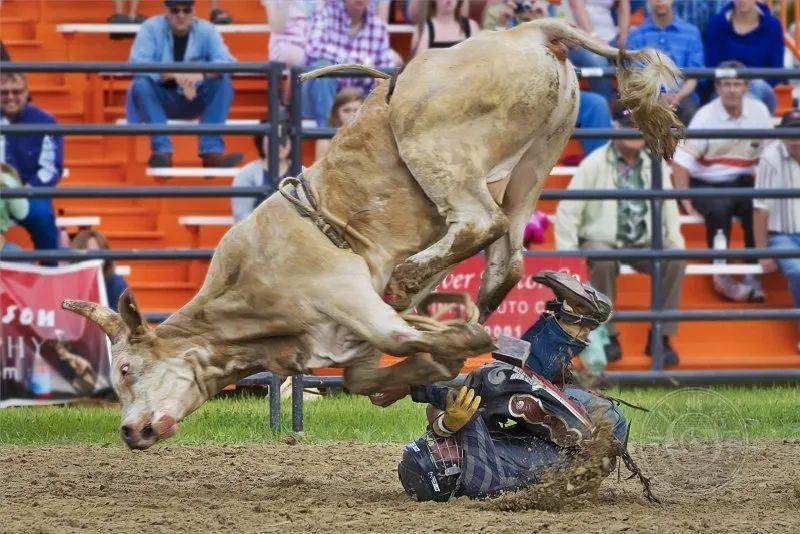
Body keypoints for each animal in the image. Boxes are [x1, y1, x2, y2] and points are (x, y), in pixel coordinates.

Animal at [62, 18, 680, 450]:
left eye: (125, 368)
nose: (128, 431)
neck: (247, 304)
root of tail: (526, 30)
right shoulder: (347, 342)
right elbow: (365, 377)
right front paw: (429, 370)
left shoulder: (349, 298)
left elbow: (402, 339)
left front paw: (457, 343)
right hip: (537, 160)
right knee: (508, 256)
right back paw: (478, 301)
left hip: (436, 147)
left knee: (480, 222)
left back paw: (414, 282)